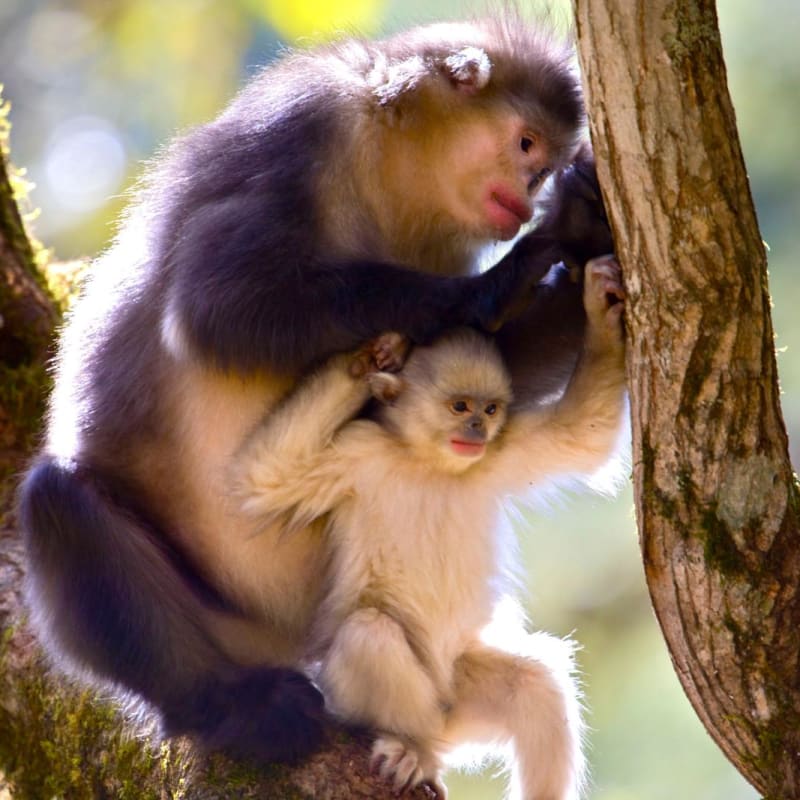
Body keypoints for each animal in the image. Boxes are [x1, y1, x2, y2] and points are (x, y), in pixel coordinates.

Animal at [18, 16, 607, 763]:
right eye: (526, 145)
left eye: (544, 162)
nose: (529, 193)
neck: (391, 169)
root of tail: (285, 638)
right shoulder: (301, 129)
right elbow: (216, 308)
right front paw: (509, 274)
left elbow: (487, 372)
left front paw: (585, 232)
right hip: (218, 622)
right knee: (56, 502)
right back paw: (236, 705)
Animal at [231, 256, 627, 798]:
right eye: (460, 407)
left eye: (490, 409)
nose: (477, 430)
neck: (428, 462)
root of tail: (442, 731)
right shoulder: (357, 450)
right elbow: (268, 475)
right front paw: (372, 354)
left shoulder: (502, 449)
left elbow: (584, 432)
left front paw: (601, 308)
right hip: (387, 702)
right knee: (370, 632)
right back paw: (412, 748)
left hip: (460, 698)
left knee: (536, 686)